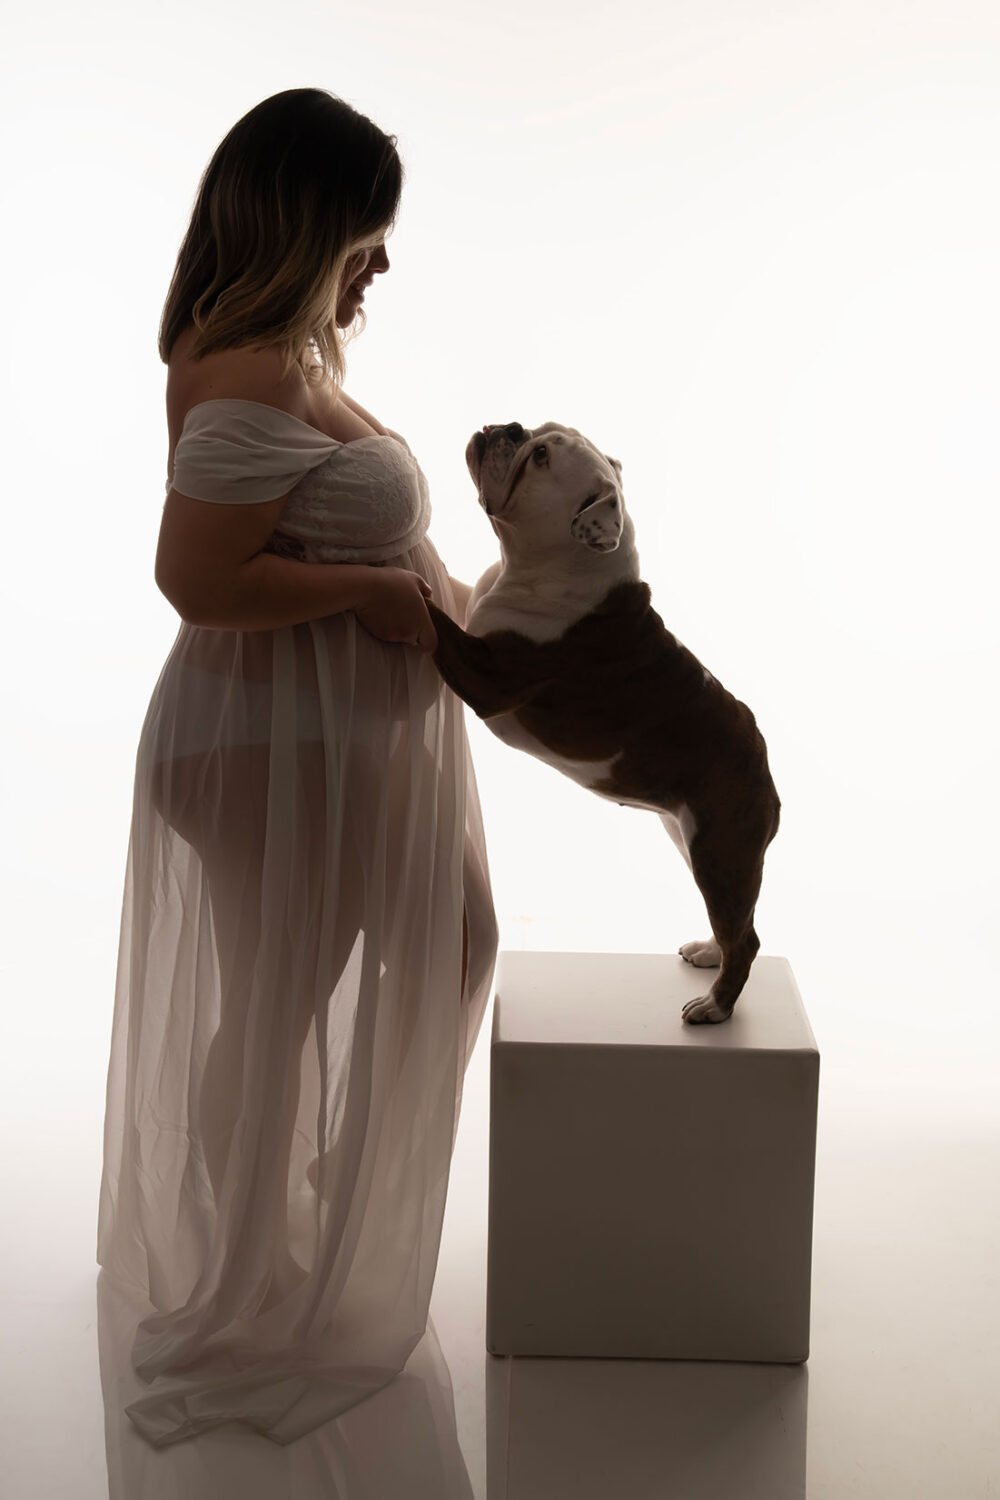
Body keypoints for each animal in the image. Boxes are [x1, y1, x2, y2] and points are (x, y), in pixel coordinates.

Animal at [426, 422, 780, 1023]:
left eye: (541, 456)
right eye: (535, 433)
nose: (507, 427)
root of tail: (761, 756)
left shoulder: (485, 674)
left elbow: (431, 618)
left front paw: (399, 586)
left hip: (721, 850)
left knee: (745, 935)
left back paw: (714, 1007)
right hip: (690, 840)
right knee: (736, 922)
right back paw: (709, 952)